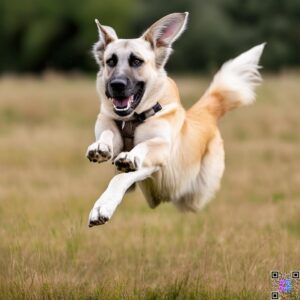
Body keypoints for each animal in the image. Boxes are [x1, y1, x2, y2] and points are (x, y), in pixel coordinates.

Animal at [86, 12, 264, 227]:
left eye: (136, 61)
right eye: (110, 61)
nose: (116, 85)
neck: (134, 117)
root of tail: (205, 112)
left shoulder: (159, 153)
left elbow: (133, 162)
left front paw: (128, 161)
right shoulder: (109, 125)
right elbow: (107, 133)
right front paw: (100, 147)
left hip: (196, 193)